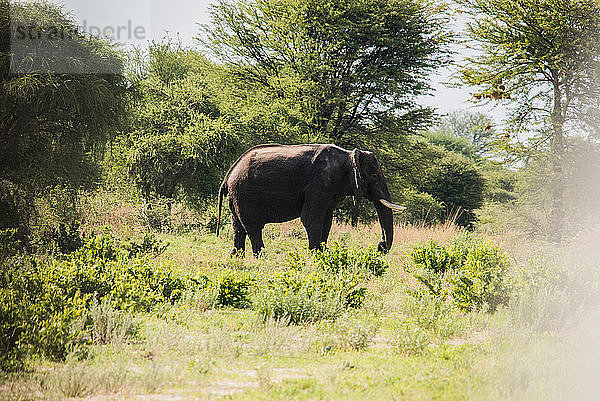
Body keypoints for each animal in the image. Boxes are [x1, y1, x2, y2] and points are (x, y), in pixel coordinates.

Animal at [213, 144, 406, 255]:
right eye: (374, 176)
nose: (380, 246)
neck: (348, 156)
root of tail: (228, 175)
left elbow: (326, 222)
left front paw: (322, 254)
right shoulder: (319, 184)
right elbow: (311, 219)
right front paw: (315, 256)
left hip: (237, 196)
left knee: (238, 227)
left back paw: (237, 257)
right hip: (245, 193)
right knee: (253, 227)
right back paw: (260, 257)